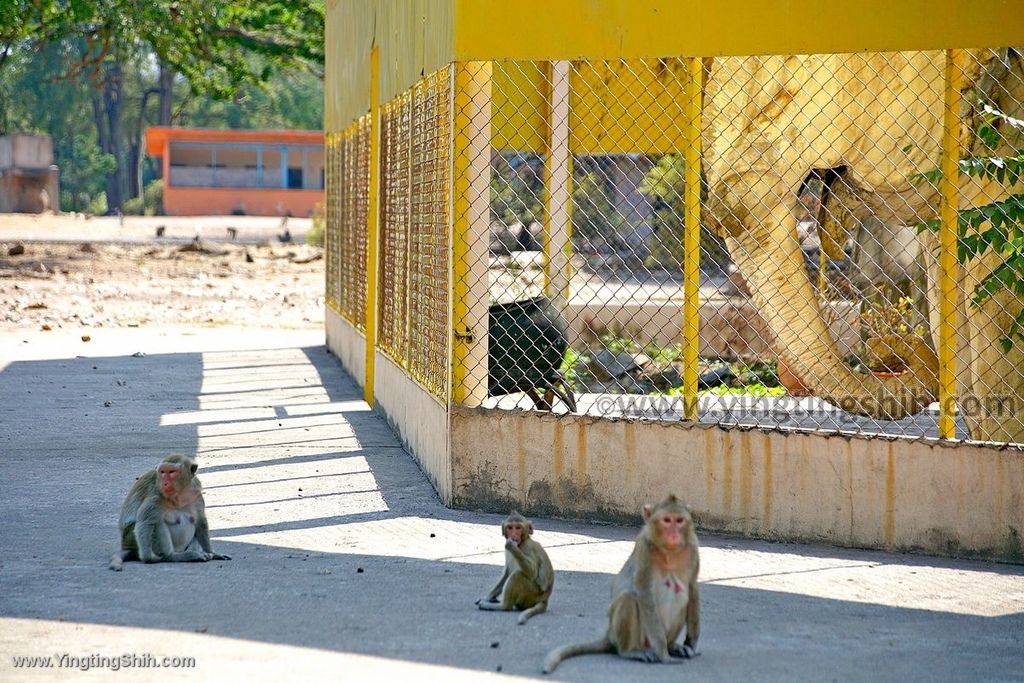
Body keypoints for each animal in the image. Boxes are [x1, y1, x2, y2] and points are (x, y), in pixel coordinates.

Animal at [540, 493, 700, 675]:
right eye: (667, 520)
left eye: (679, 520)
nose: (673, 534)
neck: (669, 552)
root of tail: (609, 634)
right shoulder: (644, 549)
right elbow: (644, 592)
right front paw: (663, 653)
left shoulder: (693, 547)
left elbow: (692, 589)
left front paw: (691, 644)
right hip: (628, 635)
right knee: (628, 598)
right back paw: (631, 651)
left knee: (682, 593)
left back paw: (672, 645)